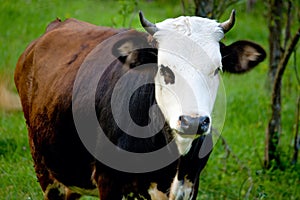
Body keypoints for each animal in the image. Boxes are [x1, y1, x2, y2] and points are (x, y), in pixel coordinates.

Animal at [15, 10, 266, 200]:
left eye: (217, 69)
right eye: (164, 68)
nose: (193, 122)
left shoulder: (190, 184)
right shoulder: (109, 182)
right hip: (44, 167)